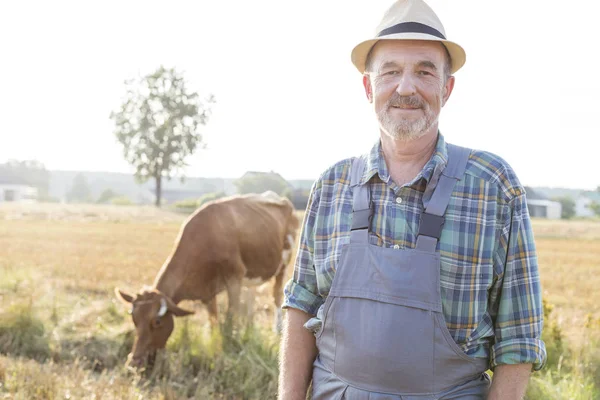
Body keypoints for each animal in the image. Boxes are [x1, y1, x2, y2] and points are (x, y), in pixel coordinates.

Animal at [113, 192, 298, 368]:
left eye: (157, 322)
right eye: (134, 318)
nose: (133, 363)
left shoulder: (234, 277)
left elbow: (230, 316)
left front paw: (230, 343)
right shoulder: (207, 291)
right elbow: (214, 320)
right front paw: (217, 344)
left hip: (283, 263)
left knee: (277, 296)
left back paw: (277, 329)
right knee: (251, 297)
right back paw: (250, 326)